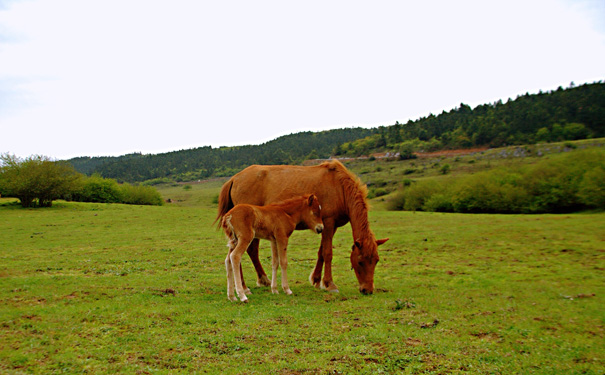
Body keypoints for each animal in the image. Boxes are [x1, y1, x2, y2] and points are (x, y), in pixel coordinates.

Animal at [216, 160, 386, 296]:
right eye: (360, 261)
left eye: (376, 261)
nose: (367, 290)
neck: (339, 186)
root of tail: (234, 178)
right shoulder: (328, 223)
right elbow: (328, 253)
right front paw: (329, 284)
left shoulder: (330, 226)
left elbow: (321, 253)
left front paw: (317, 280)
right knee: (243, 253)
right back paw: (246, 286)